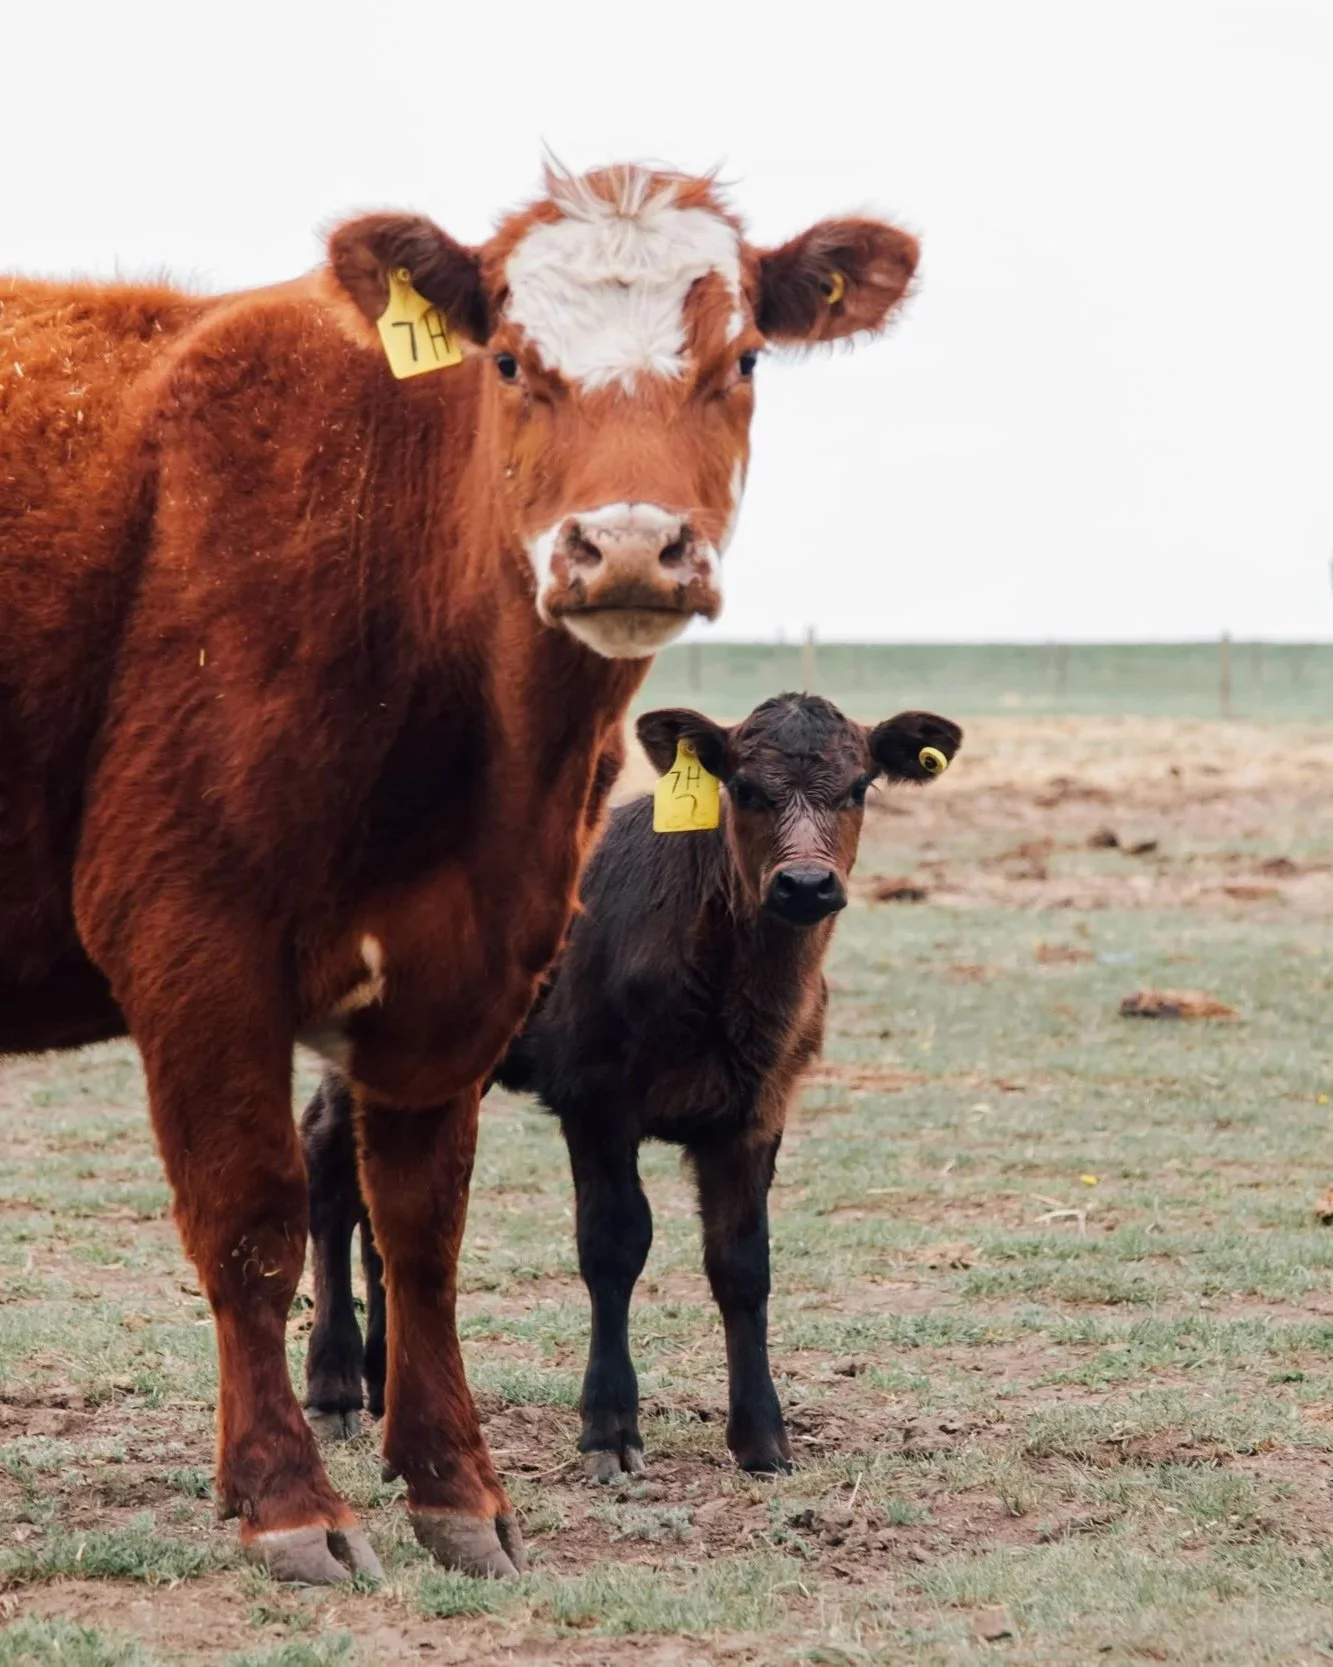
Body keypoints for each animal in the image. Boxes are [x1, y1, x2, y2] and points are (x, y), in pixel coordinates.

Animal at [300, 697, 962, 1481]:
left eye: (859, 787)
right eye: (742, 787)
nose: (805, 884)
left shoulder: (758, 1111)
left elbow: (742, 1262)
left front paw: (762, 1438)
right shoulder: (595, 1098)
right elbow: (614, 1244)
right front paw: (609, 1428)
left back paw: (385, 1383)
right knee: (329, 1168)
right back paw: (335, 1386)